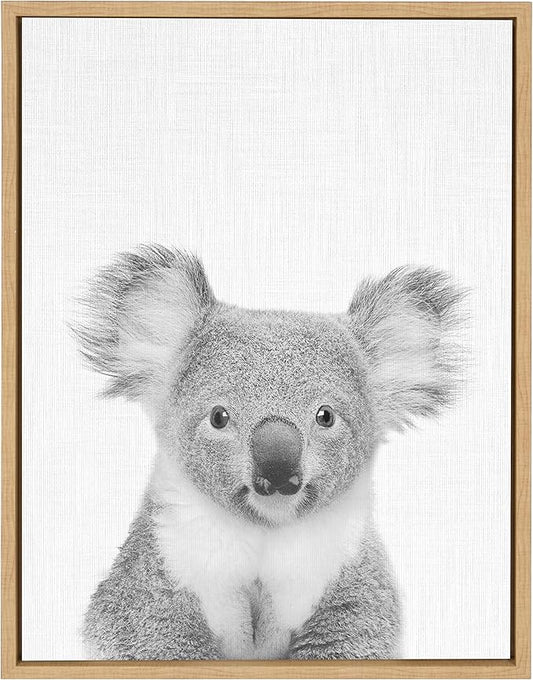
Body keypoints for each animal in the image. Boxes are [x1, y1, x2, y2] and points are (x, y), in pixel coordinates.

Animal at [76, 244, 465, 660]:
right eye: (219, 417)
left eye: (325, 416)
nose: (277, 470)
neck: (265, 532)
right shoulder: (157, 577)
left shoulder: (349, 583)